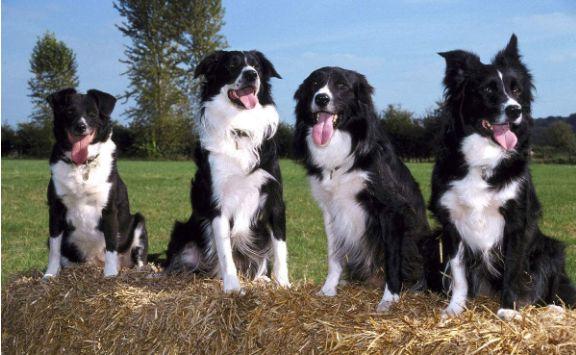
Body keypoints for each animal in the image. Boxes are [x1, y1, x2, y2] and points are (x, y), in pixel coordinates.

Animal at [44, 87, 148, 280]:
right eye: (69, 112)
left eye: (92, 114)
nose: (81, 127)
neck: (82, 165)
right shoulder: (55, 209)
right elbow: (54, 249)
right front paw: (50, 275)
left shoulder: (109, 210)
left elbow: (111, 245)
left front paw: (110, 275)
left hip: (139, 223)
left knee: (138, 258)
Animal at [165, 50, 292, 294]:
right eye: (232, 65)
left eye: (256, 67)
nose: (251, 75)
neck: (239, 128)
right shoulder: (217, 204)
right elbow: (225, 252)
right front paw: (232, 287)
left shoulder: (274, 199)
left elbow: (280, 247)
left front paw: (283, 283)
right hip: (182, 232)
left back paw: (261, 278)